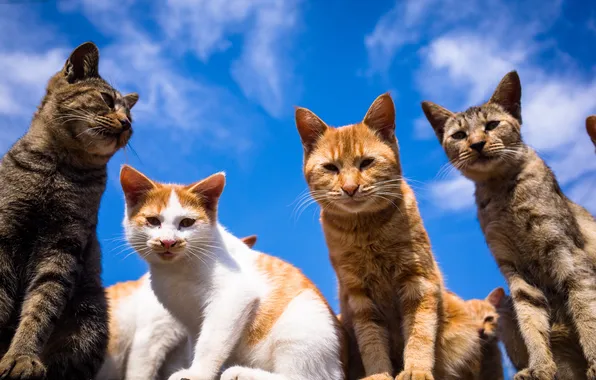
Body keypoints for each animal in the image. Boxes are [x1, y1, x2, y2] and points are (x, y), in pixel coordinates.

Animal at [0, 41, 137, 380]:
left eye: (131, 117)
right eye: (106, 100)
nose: (127, 124)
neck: (59, 168)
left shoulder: (63, 245)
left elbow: (40, 307)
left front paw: (21, 356)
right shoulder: (5, 231)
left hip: (89, 319)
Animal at [118, 166, 344, 380]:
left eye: (187, 223)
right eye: (153, 221)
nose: (168, 242)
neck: (176, 270)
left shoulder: (233, 295)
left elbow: (211, 341)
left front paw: (196, 374)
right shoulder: (190, 322)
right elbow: (195, 344)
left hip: (303, 320)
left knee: (305, 377)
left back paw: (241, 373)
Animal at [296, 93, 482, 380]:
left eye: (366, 163)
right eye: (331, 168)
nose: (350, 188)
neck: (366, 230)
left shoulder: (419, 282)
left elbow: (419, 333)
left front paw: (416, 369)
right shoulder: (359, 295)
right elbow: (371, 341)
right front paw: (378, 374)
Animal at [420, 70, 596, 378]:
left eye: (492, 125)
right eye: (459, 135)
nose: (476, 144)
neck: (502, 193)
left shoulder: (570, 256)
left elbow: (586, 313)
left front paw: (595, 362)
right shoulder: (515, 273)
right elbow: (532, 324)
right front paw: (539, 367)